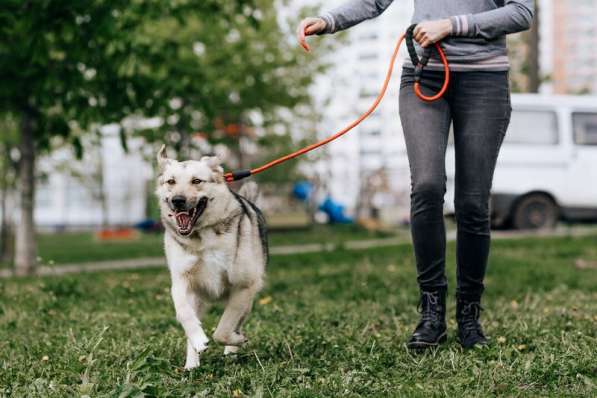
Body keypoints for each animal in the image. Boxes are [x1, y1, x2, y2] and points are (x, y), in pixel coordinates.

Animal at [155, 146, 266, 370]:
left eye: (196, 181)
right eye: (171, 181)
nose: (177, 201)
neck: (201, 239)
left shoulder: (243, 286)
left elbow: (222, 330)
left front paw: (235, 341)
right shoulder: (181, 282)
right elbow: (183, 312)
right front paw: (198, 340)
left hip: (247, 299)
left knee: (236, 323)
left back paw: (233, 349)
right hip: (198, 299)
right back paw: (192, 364)